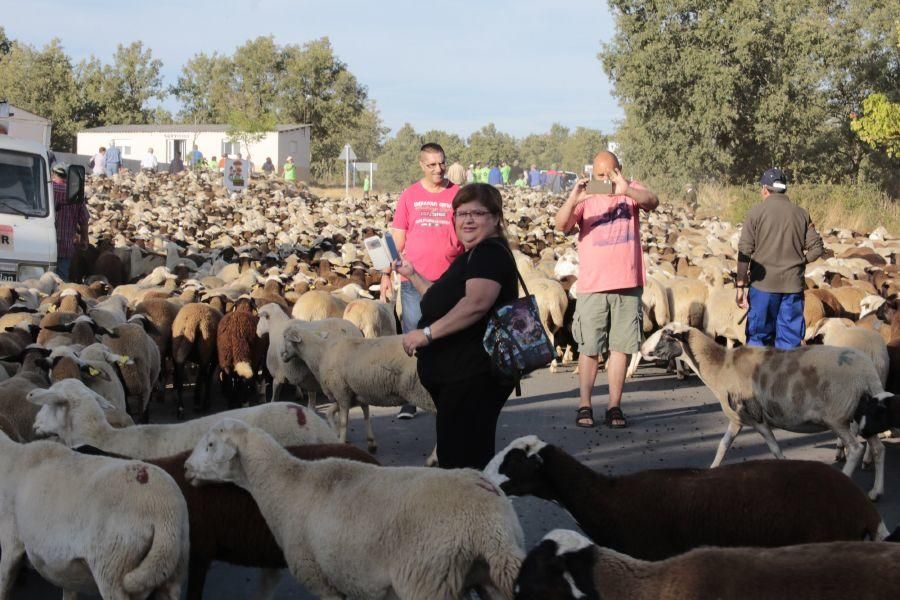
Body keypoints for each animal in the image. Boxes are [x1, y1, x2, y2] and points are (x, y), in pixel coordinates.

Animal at [185, 420, 520, 596]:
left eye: (211, 445)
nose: (186, 468)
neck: (287, 484)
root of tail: (492, 526)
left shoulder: (320, 579)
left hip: (426, 582)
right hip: (489, 579)